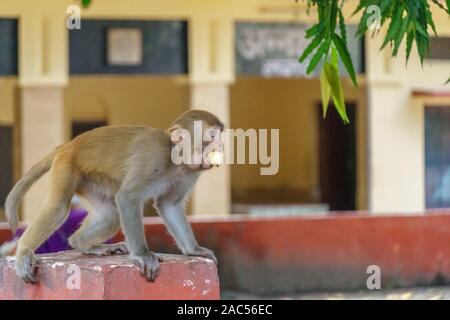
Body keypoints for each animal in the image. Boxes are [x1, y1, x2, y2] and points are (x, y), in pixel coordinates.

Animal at [6, 109, 224, 282]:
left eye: (220, 136)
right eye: (212, 136)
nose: (221, 146)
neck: (174, 159)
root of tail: (68, 145)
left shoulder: (189, 172)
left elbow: (169, 204)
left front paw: (193, 249)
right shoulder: (153, 158)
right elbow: (128, 198)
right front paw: (143, 254)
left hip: (90, 179)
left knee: (111, 214)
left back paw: (82, 244)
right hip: (66, 165)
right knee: (58, 207)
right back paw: (24, 251)